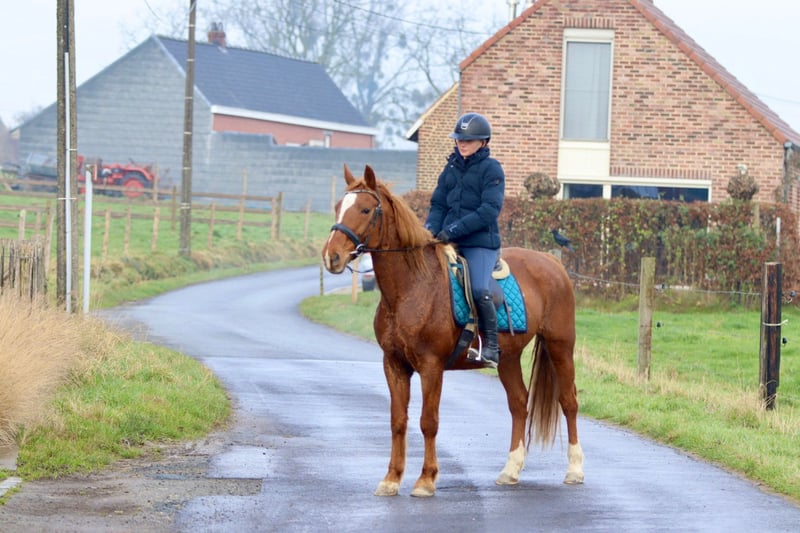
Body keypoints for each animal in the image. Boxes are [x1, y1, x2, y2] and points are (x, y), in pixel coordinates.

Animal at [321, 165, 584, 497]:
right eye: (337, 207)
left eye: (366, 209)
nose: (331, 257)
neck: (412, 287)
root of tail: (552, 262)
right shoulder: (393, 364)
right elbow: (398, 420)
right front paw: (391, 479)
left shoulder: (431, 367)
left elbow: (428, 421)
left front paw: (425, 480)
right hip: (508, 358)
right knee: (519, 404)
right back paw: (510, 470)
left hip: (560, 346)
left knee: (569, 402)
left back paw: (575, 470)